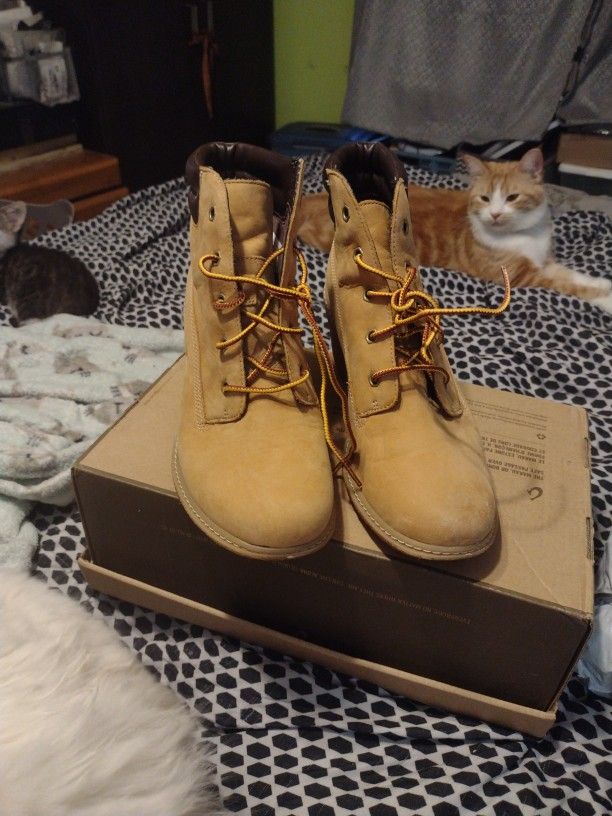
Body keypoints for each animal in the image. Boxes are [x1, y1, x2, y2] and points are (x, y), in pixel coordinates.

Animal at [297, 148, 612, 311]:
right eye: (484, 198)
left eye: (512, 198)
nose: (495, 214)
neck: (523, 235)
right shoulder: (521, 277)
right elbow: (570, 286)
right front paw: (606, 300)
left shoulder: (545, 262)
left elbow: (574, 276)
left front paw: (604, 284)